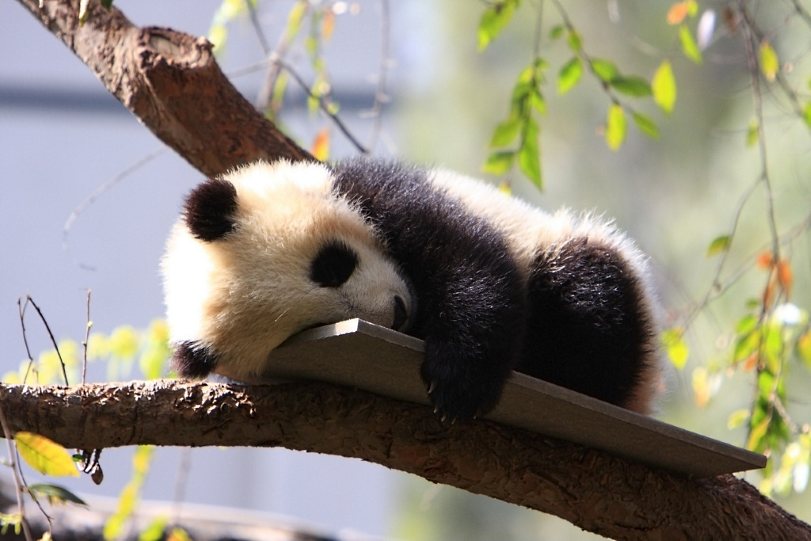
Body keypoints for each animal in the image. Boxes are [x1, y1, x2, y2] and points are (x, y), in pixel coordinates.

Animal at [162, 157, 660, 420]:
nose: (398, 313)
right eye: (313, 326)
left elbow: (469, 261)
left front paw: (458, 383)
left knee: (587, 297)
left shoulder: (383, 192)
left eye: (332, 266)